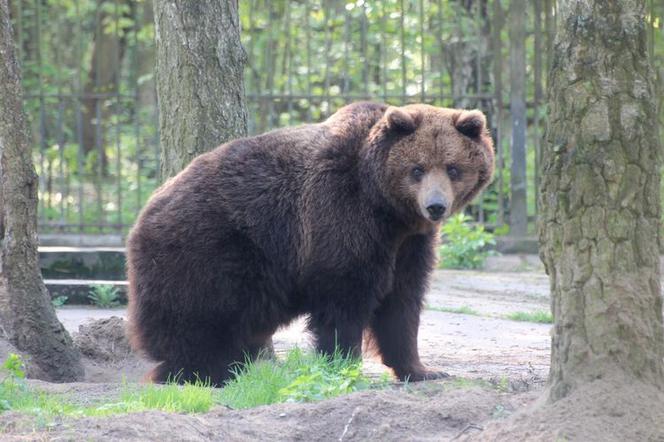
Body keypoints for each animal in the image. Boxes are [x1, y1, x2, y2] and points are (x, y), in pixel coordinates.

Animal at [127, 102, 496, 386]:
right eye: (417, 169)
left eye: (452, 168)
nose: (435, 206)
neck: (387, 209)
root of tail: (143, 213)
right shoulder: (340, 216)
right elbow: (344, 298)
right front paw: (343, 365)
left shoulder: (408, 244)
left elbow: (402, 302)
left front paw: (422, 370)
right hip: (209, 249)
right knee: (199, 316)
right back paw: (200, 371)